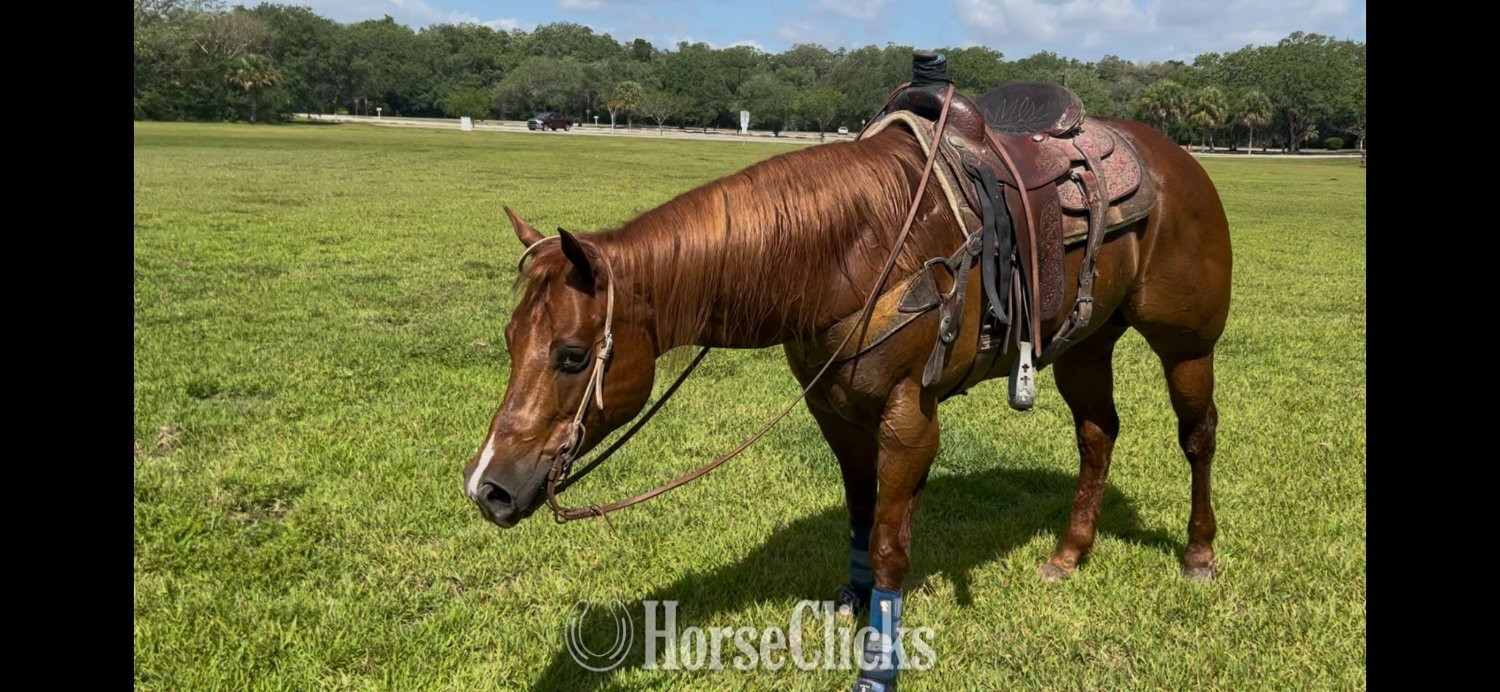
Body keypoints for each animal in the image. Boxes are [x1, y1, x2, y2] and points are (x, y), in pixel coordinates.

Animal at [461, 91, 1231, 689]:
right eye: (509, 340)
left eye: (571, 356)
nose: (487, 488)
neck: (850, 248)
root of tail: (1178, 158)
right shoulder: (834, 410)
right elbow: (862, 515)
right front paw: (850, 603)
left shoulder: (909, 417)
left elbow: (892, 541)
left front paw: (878, 666)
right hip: (1085, 342)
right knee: (1098, 434)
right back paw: (1069, 553)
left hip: (1187, 344)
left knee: (1197, 435)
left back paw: (1198, 555)